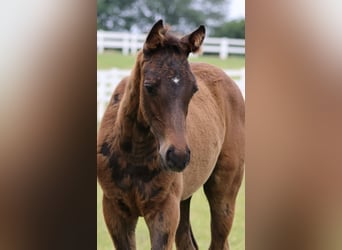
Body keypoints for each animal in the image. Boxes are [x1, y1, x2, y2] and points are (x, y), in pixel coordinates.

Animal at [97, 20, 244, 250]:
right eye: (148, 86)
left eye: (193, 89)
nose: (178, 156)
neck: (134, 154)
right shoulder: (114, 211)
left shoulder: (164, 212)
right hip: (184, 201)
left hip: (224, 192)